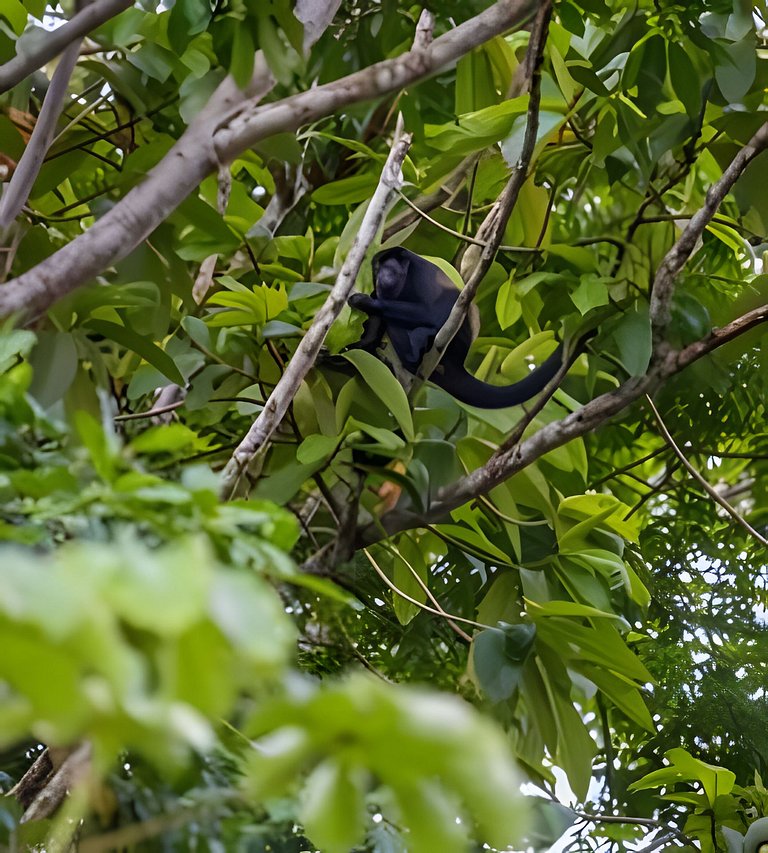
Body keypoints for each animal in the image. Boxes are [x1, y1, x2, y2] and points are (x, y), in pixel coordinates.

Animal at [344, 246, 580, 410]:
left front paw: (365, 301)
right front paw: (362, 341)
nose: (382, 275)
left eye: (389, 267)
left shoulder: (420, 274)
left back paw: (418, 348)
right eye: (377, 268)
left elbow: (435, 311)